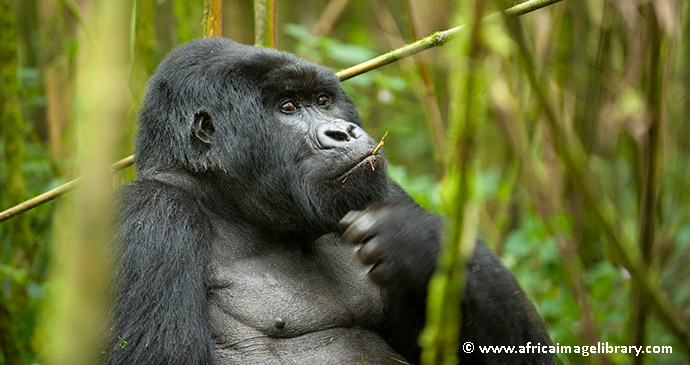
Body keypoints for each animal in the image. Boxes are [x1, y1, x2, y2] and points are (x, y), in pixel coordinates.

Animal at [105, 38, 552, 362]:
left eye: (322, 101)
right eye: (287, 107)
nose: (343, 132)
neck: (230, 206)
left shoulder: (383, 188)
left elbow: (525, 350)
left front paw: (419, 241)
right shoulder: (151, 217)